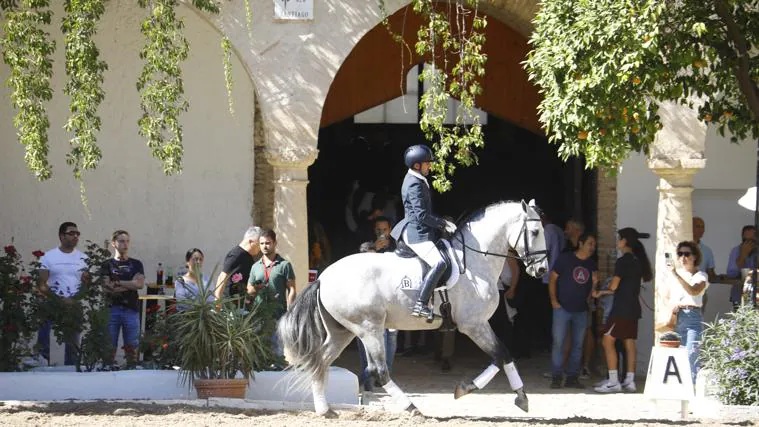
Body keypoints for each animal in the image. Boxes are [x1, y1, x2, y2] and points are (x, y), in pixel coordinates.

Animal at [278, 200, 548, 418]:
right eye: (535, 232)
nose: (542, 269)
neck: (474, 262)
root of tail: (323, 277)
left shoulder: (478, 324)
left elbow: (502, 356)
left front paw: (506, 395)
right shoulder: (473, 324)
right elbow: (501, 354)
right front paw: (498, 394)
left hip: (341, 331)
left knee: (321, 360)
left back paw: (325, 410)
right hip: (368, 328)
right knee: (379, 370)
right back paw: (411, 408)